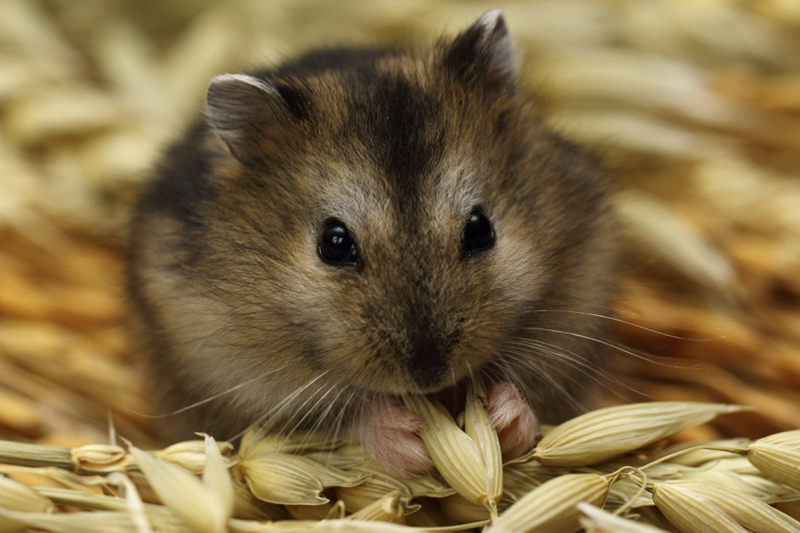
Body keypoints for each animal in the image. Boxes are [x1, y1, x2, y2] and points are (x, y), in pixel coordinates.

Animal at [126, 9, 617, 476]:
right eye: (334, 243)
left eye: (481, 228)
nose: (428, 377)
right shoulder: (237, 378)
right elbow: (339, 416)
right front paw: (410, 446)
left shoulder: (576, 322)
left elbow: (540, 395)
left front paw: (502, 421)